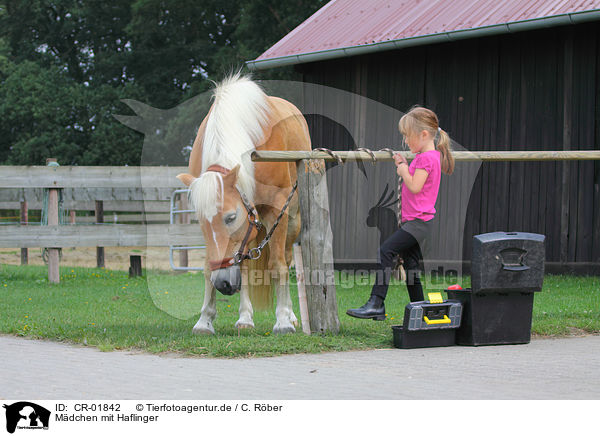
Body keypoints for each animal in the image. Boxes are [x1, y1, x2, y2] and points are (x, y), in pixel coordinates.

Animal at [176, 74, 310, 334]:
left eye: (230, 217)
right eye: (201, 222)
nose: (224, 284)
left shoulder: (277, 210)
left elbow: (278, 265)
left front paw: (282, 321)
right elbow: (208, 267)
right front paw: (205, 320)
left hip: (293, 221)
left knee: (287, 259)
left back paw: (290, 316)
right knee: (245, 268)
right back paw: (246, 318)